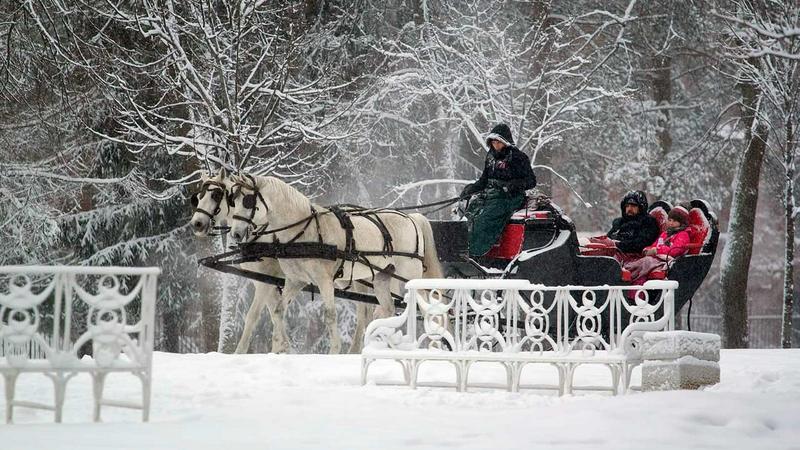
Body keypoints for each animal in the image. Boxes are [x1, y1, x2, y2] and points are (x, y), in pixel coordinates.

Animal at [227, 174, 444, 354]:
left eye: (248, 201)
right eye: (233, 201)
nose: (235, 234)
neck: (305, 230)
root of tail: (411, 218)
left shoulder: (324, 280)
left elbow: (330, 314)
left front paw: (334, 350)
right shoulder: (296, 280)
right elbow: (279, 310)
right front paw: (279, 347)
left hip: (410, 275)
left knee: (424, 309)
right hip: (382, 277)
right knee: (388, 309)